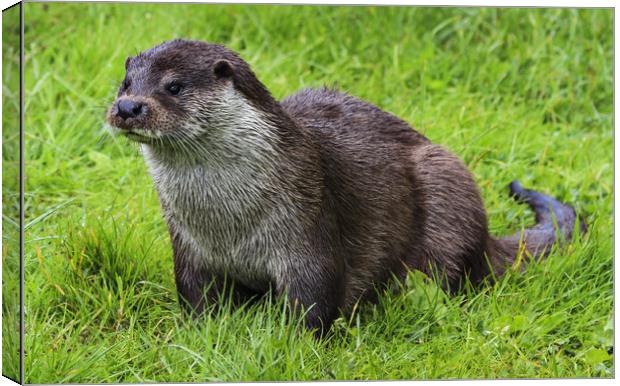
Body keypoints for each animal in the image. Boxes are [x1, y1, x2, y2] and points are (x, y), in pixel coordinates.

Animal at [106, 38, 588, 334]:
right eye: (126, 83)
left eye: (174, 86)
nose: (128, 107)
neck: (228, 223)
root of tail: (486, 237)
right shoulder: (188, 248)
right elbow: (195, 299)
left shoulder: (308, 228)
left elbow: (314, 303)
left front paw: (291, 346)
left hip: (447, 183)